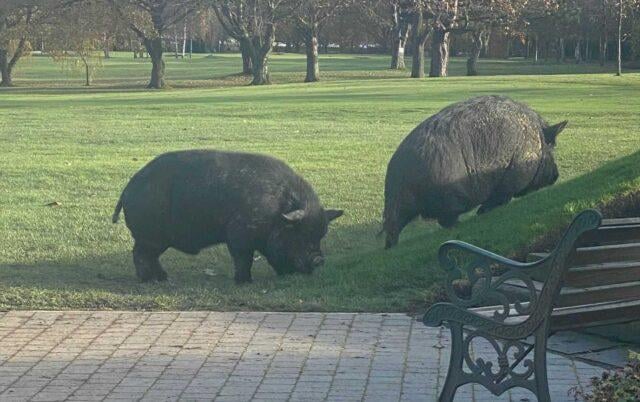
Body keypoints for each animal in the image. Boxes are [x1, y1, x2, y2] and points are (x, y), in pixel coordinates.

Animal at [112, 150, 343, 283]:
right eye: (299, 234)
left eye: (320, 235)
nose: (319, 259)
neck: (276, 212)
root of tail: (127, 189)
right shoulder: (239, 235)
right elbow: (243, 258)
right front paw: (245, 282)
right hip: (150, 237)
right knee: (140, 255)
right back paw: (151, 281)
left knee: (148, 257)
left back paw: (163, 278)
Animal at [383, 95, 567, 248]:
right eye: (552, 147)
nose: (556, 175)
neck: (536, 141)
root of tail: (398, 172)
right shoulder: (511, 179)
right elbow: (500, 198)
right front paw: (481, 213)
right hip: (450, 195)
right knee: (445, 219)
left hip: (399, 205)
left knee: (394, 226)